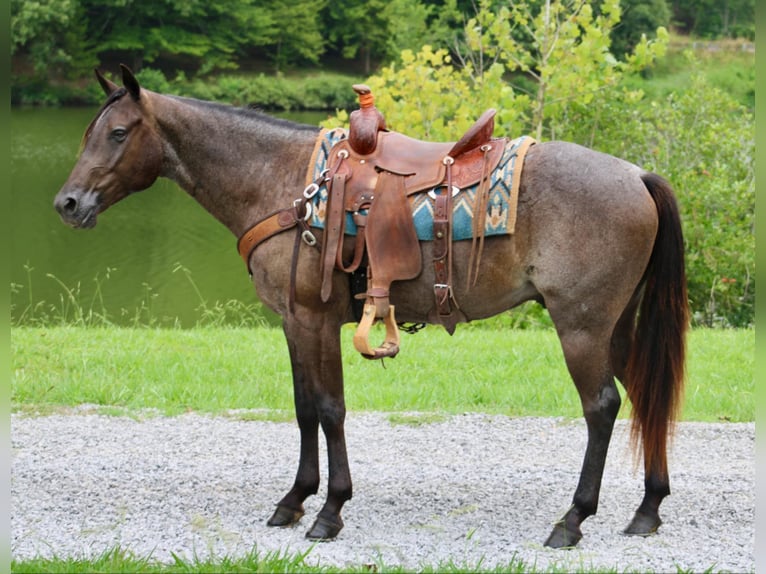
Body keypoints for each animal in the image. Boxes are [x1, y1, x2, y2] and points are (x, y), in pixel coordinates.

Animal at [54, 65, 688, 552]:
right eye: (88, 132)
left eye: (117, 133)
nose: (67, 203)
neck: (284, 183)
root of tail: (637, 174)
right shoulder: (292, 322)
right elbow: (304, 408)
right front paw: (294, 500)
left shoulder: (313, 319)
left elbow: (330, 409)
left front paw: (330, 511)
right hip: (617, 328)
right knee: (644, 395)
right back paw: (648, 509)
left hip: (581, 326)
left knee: (602, 407)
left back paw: (573, 519)